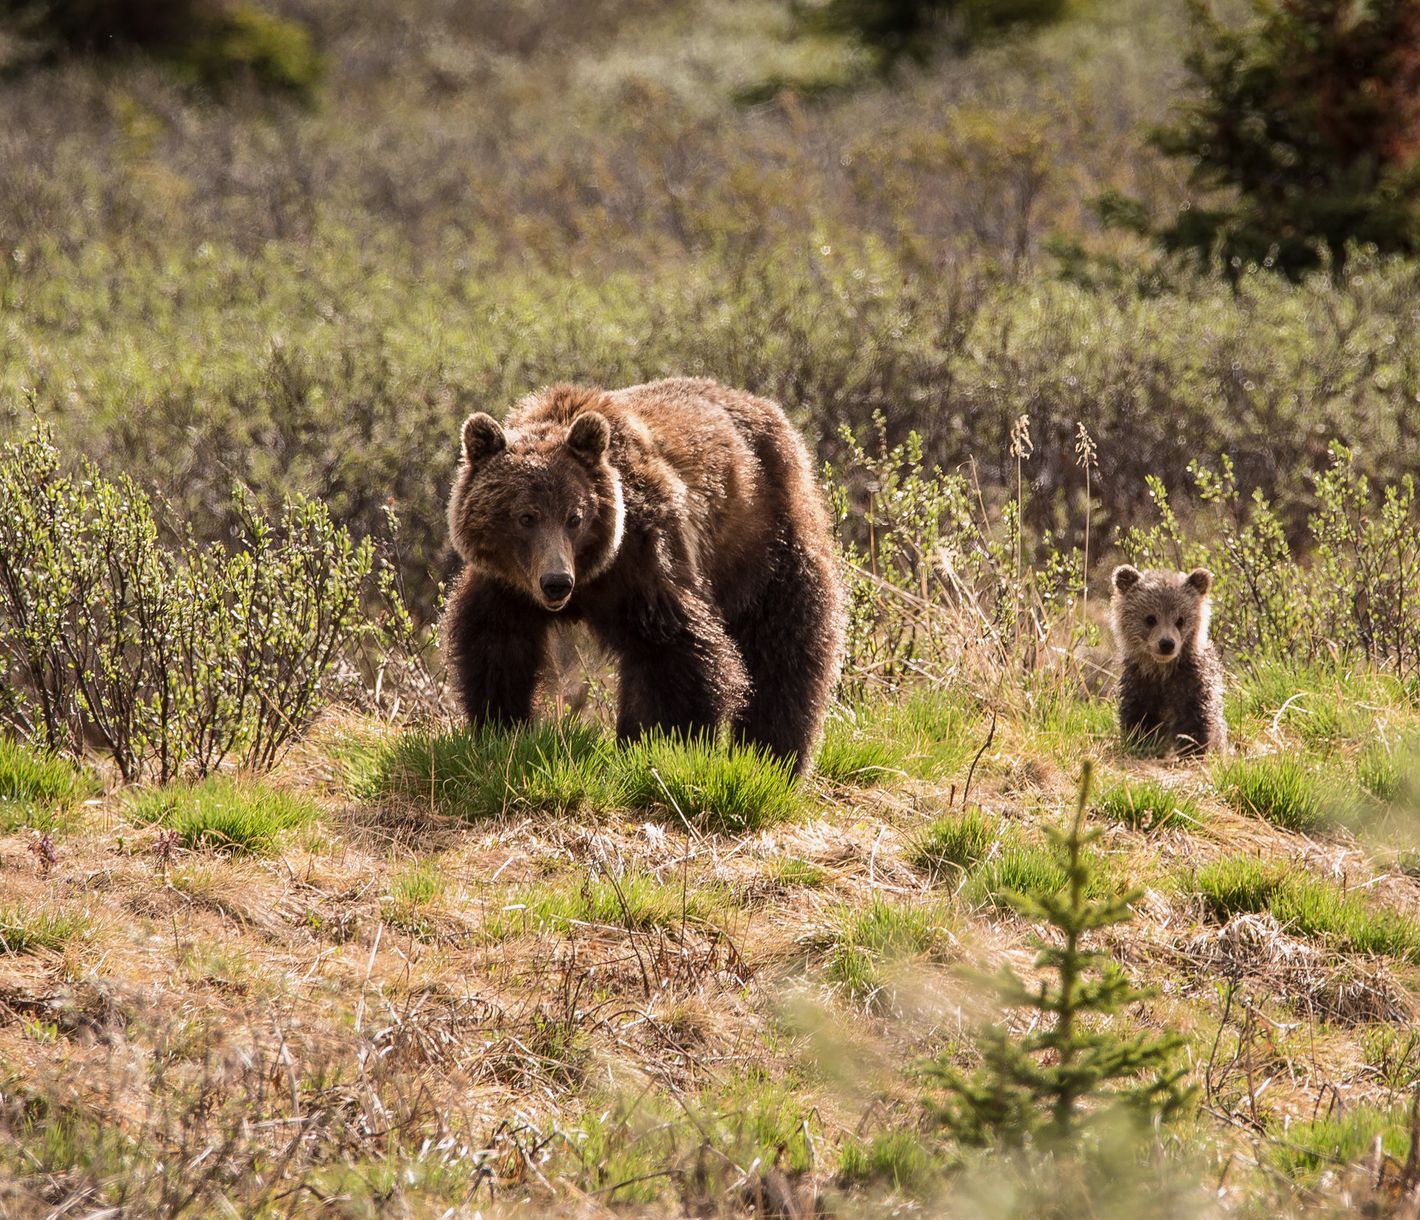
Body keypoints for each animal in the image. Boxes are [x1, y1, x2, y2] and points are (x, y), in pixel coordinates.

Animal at [443, 377, 845, 775]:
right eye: (526, 517)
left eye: (575, 517)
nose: (557, 582)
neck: (591, 575)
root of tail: (770, 410)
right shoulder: (508, 584)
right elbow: (496, 643)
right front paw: (500, 727)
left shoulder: (642, 563)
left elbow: (676, 657)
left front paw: (663, 744)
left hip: (763, 541)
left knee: (784, 649)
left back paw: (773, 754)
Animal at [1110, 564, 1226, 756]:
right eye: (1150, 618)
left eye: (1180, 620)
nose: (1166, 644)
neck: (1162, 671)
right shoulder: (1140, 685)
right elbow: (1139, 722)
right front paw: (1141, 745)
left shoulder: (1192, 685)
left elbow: (1195, 723)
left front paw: (1193, 749)